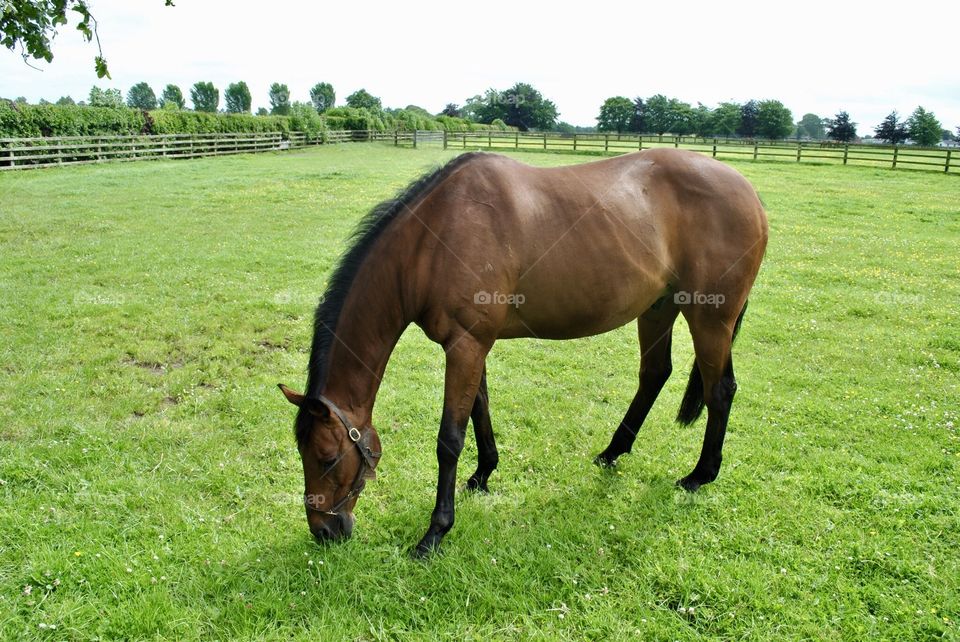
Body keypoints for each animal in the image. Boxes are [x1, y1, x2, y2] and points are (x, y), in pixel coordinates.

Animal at [276, 146, 764, 556]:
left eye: (327, 458)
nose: (324, 531)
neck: (434, 238)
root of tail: (750, 194)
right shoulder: (472, 346)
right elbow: (480, 409)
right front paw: (483, 475)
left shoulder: (466, 345)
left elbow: (449, 439)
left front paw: (435, 532)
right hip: (660, 308)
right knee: (654, 375)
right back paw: (612, 452)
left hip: (710, 318)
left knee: (720, 390)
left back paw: (700, 475)